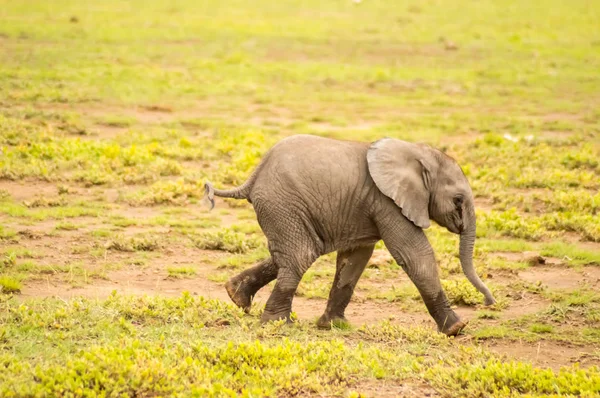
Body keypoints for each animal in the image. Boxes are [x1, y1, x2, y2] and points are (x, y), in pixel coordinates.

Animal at [204, 134, 494, 336]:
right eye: (458, 200)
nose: (489, 302)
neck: (417, 153)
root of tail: (253, 177)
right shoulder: (388, 202)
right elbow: (415, 255)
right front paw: (456, 329)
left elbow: (355, 260)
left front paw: (333, 325)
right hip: (283, 204)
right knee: (300, 255)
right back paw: (278, 324)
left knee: (293, 254)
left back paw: (236, 296)